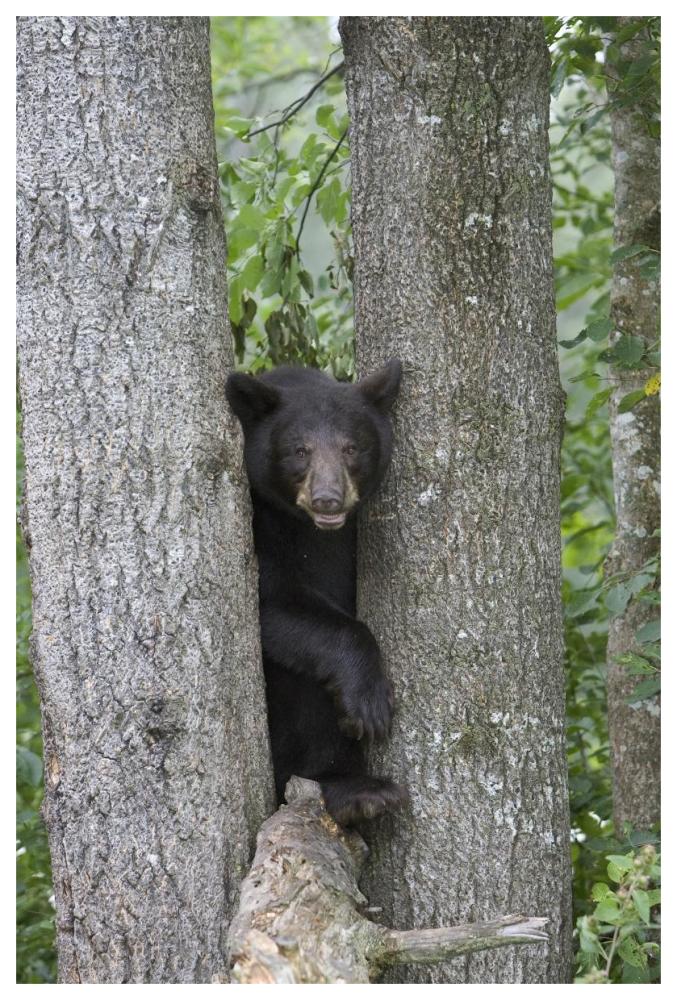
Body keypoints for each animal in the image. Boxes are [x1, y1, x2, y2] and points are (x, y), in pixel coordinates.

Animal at [226, 360, 408, 825]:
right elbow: (273, 600)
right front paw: (369, 699)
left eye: (351, 448)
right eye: (300, 450)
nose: (328, 499)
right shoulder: (259, 523)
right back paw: (353, 790)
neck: (312, 529)